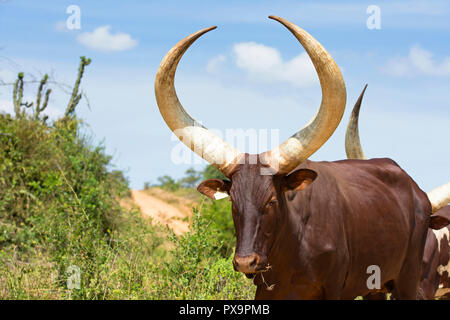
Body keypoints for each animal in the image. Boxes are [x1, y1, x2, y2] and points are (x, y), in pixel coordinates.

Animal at [156, 15, 432, 300]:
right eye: (233, 201)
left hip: (408, 277)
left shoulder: (335, 288)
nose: (246, 262)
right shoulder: (267, 290)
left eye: (271, 201)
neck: (294, 245)